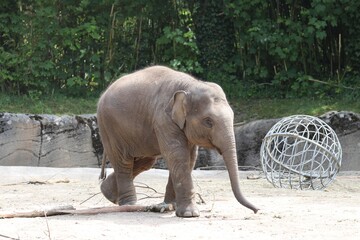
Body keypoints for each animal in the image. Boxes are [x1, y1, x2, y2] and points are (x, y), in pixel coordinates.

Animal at [97, 66, 258, 218]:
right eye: (208, 121)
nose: (256, 210)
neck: (189, 85)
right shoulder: (163, 119)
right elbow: (178, 155)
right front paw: (189, 214)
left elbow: (190, 158)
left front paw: (169, 207)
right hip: (109, 126)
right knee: (124, 162)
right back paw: (129, 204)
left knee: (145, 161)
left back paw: (108, 193)